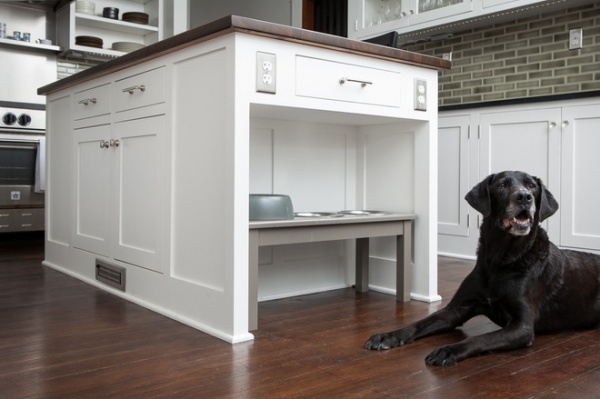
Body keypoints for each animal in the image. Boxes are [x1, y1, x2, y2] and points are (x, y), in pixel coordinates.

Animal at [364, 170, 596, 368]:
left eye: (532, 186)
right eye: (503, 185)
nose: (524, 197)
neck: (501, 260)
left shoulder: (522, 326)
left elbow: (482, 337)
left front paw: (449, 350)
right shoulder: (455, 310)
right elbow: (418, 323)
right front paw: (389, 335)